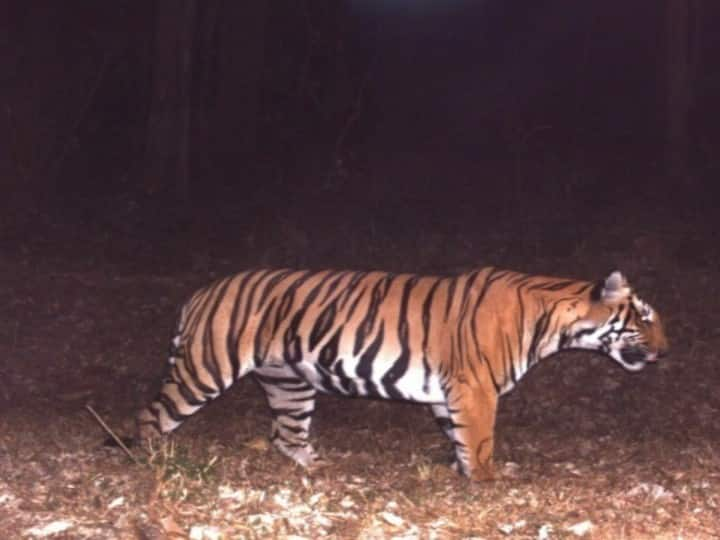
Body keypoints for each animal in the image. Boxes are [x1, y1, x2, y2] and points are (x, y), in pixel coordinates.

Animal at [136, 266, 668, 480]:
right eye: (644, 317)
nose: (665, 352)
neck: (554, 321)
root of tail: (201, 292)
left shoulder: (449, 392)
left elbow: (458, 437)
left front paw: (464, 472)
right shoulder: (475, 388)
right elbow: (480, 439)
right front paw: (488, 479)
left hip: (290, 382)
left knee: (286, 435)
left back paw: (319, 467)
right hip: (206, 368)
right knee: (152, 415)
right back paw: (151, 461)